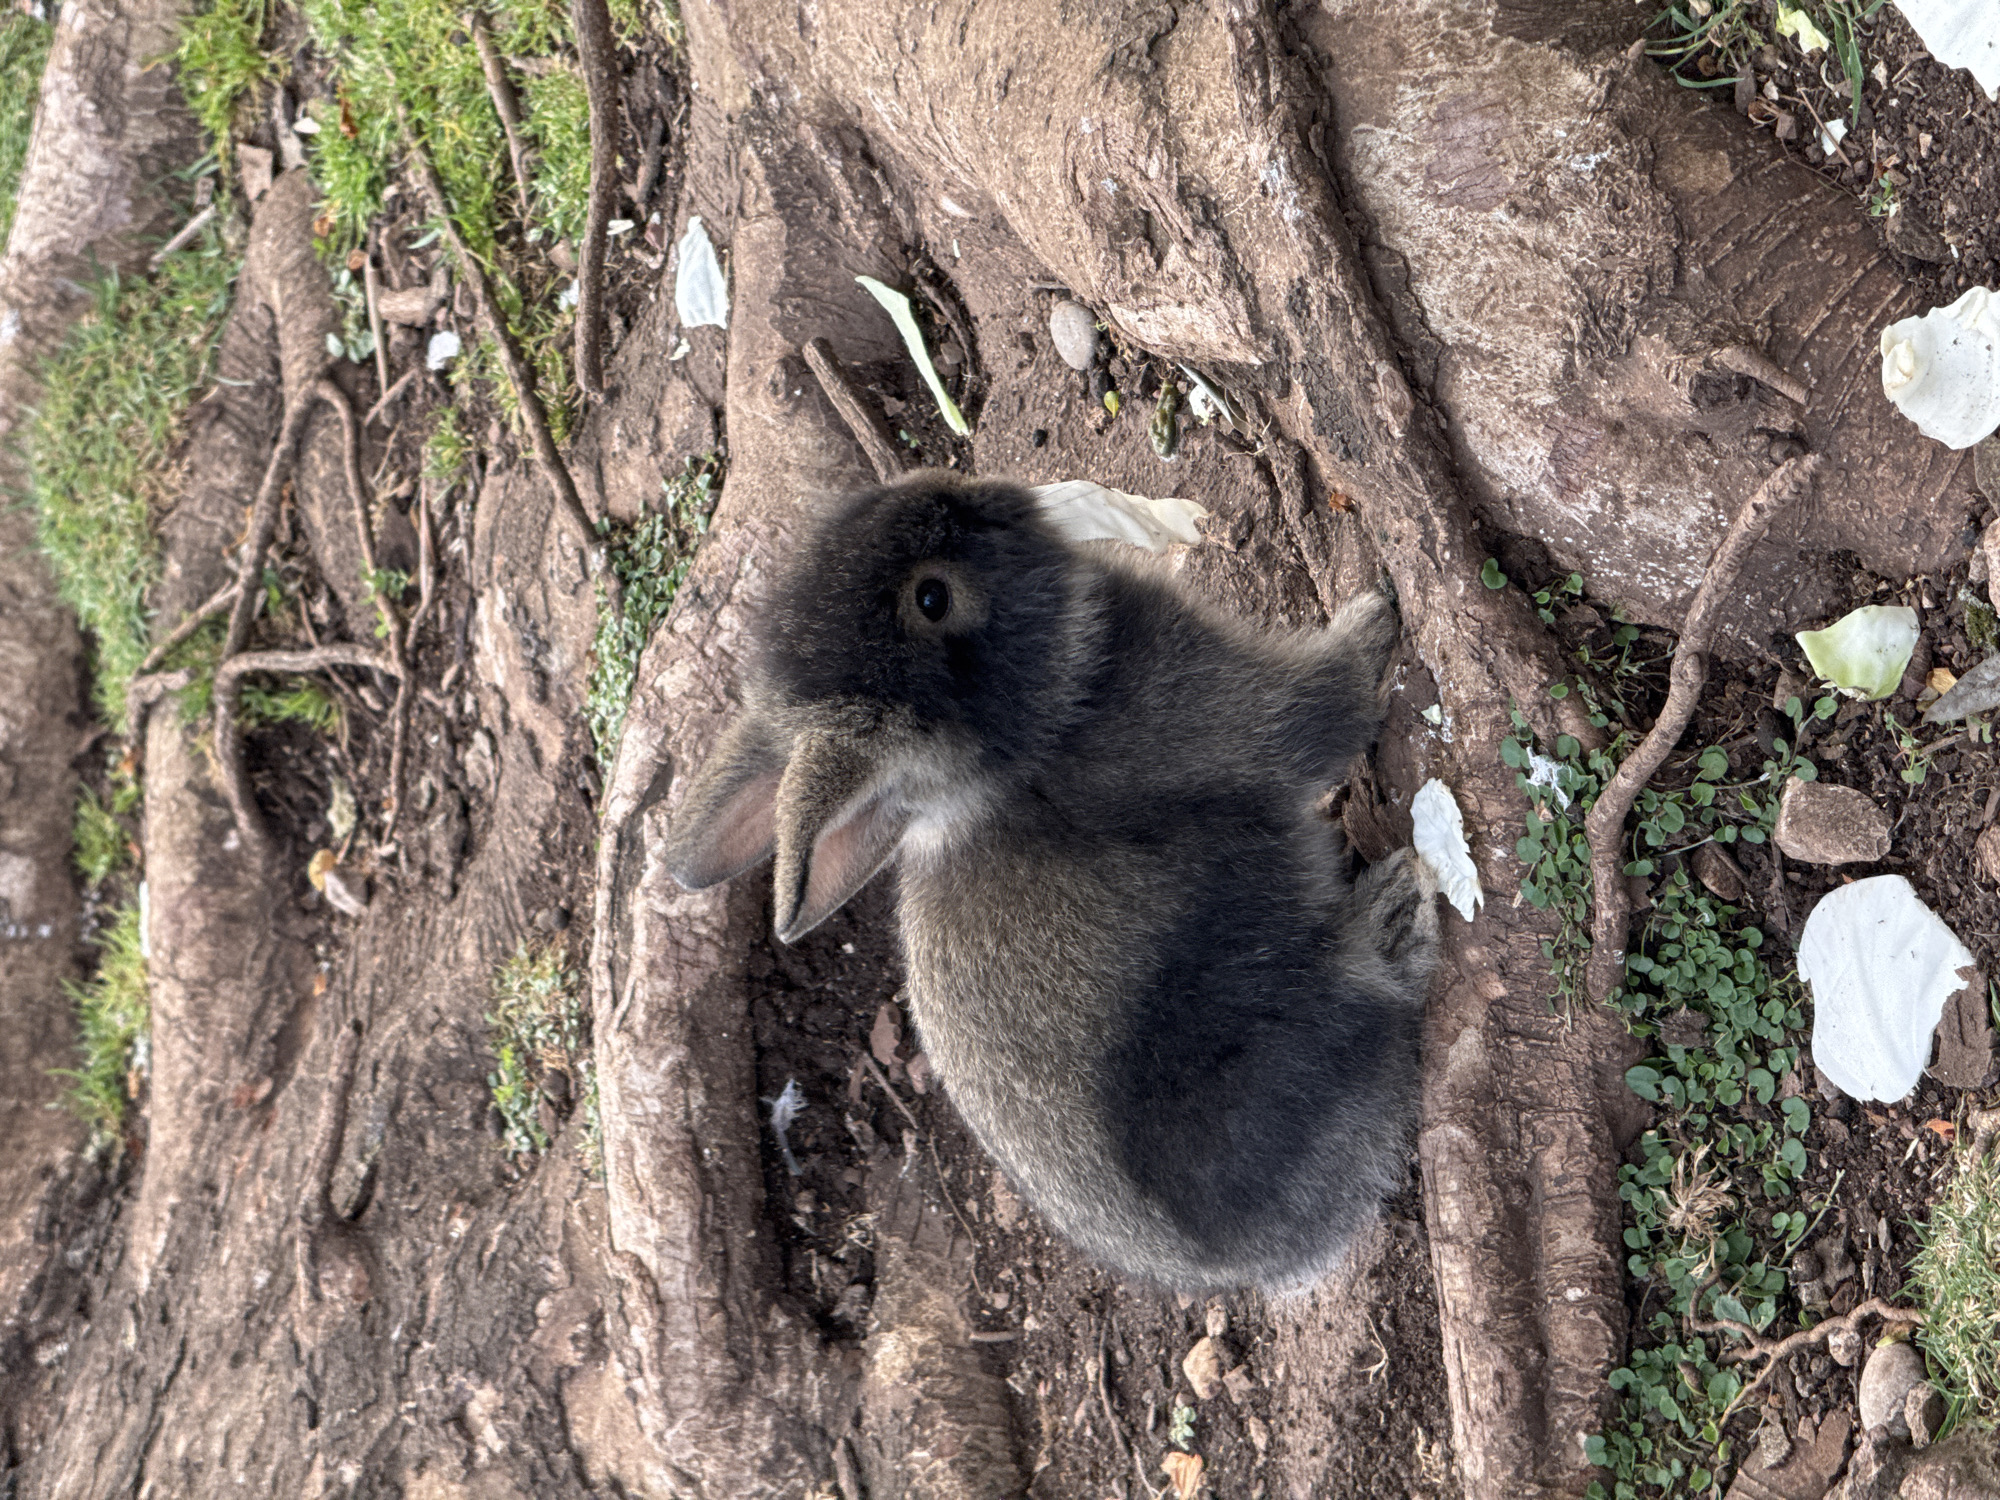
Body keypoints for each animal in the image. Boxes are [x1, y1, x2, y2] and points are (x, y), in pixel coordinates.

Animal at [664, 475, 1439, 1292]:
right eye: (932, 599)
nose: (965, 490)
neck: (1013, 760)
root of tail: (1274, 1258)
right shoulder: (1226, 705)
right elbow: (1324, 704)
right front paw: (1376, 611)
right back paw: (1396, 910)